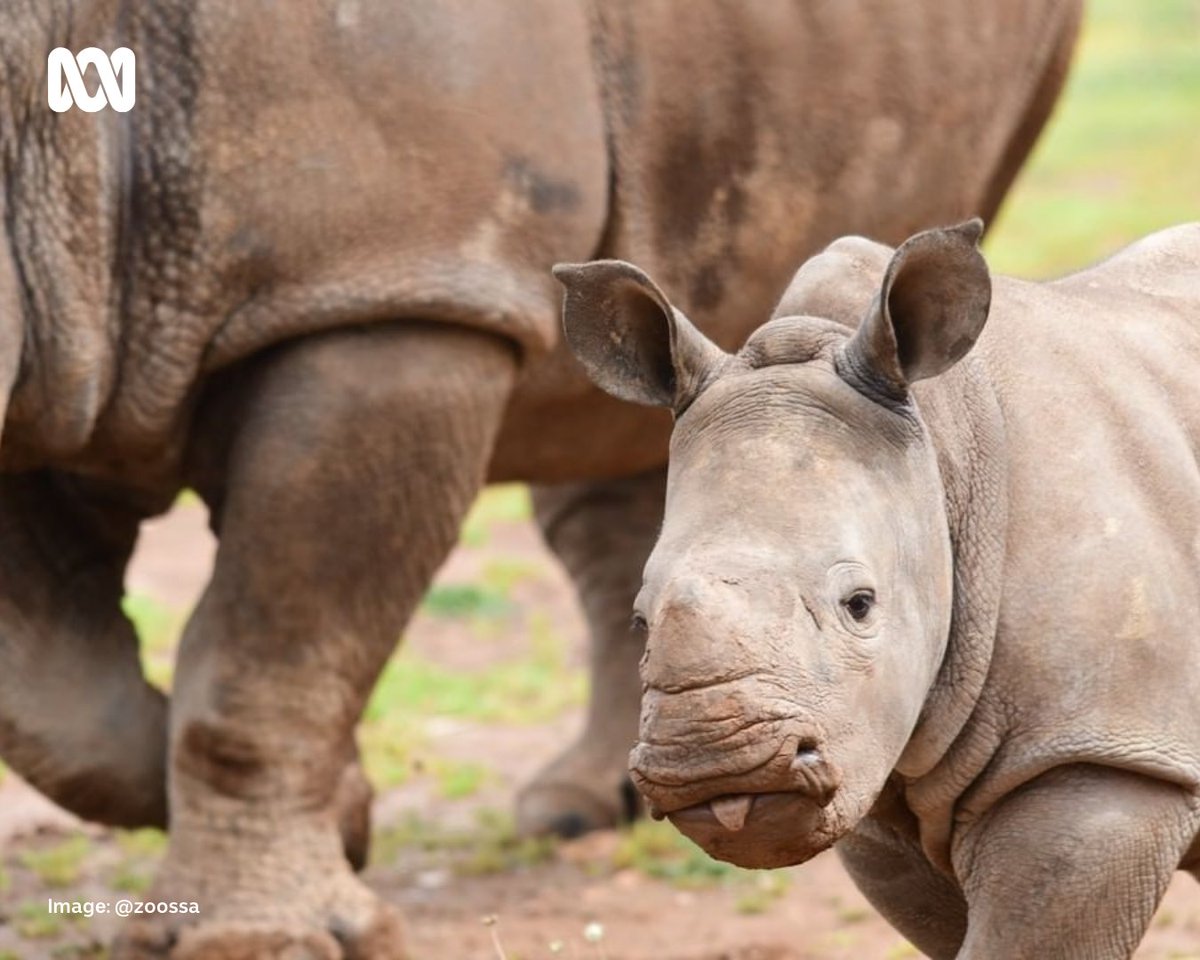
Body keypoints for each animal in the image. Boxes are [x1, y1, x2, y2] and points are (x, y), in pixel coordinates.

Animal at [1, 0, 1080, 956]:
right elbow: (51, 689)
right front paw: (348, 813)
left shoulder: (390, 290)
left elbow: (270, 648)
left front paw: (262, 938)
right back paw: (588, 810)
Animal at [558, 220, 1200, 959]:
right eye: (640, 620)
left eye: (859, 605)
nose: (713, 766)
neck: (946, 455)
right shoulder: (871, 759)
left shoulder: (1098, 755)